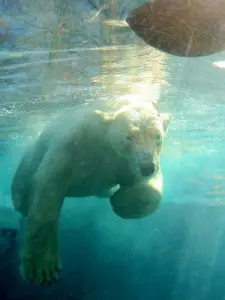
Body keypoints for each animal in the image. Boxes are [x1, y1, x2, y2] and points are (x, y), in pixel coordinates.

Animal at [11, 100, 171, 284]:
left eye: (157, 136)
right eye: (129, 136)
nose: (147, 167)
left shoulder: (124, 163)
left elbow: (149, 185)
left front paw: (123, 202)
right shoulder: (73, 145)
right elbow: (48, 186)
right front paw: (43, 267)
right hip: (29, 161)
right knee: (21, 191)